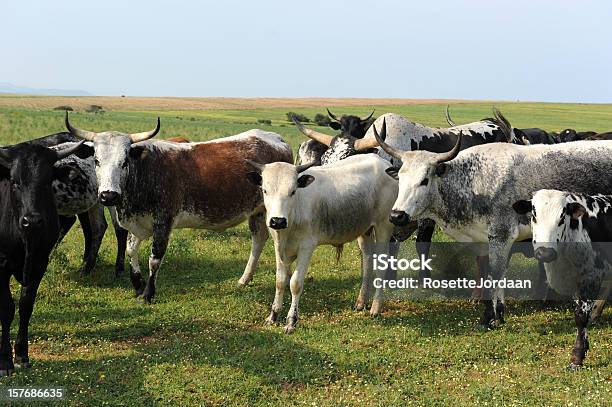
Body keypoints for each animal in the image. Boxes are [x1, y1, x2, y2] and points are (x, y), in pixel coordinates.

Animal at [0, 143, 85, 376]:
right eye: (14, 181)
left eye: (48, 181)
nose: (32, 220)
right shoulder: (0, 264)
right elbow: (7, 308)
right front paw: (5, 361)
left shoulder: (40, 263)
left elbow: (26, 305)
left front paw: (21, 354)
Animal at [246, 155, 400, 334]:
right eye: (265, 190)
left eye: (293, 191)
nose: (277, 221)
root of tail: (381, 160)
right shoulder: (278, 246)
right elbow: (280, 281)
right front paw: (273, 316)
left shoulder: (306, 247)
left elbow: (295, 284)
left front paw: (291, 321)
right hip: (365, 230)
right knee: (367, 261)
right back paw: (361, 302)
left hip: (384, 227)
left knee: (382, 263)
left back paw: (375, 308)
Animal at [372, 123, 612, 328]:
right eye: (400, 179)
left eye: (424, 180)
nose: (397, 215)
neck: (474, 180)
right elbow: (491, 272)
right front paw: (496, 313)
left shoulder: (501, 235)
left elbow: (495, 273)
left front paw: (492, 317)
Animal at [512, 190, 608, 370]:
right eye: (534, 215)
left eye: (562, 217)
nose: (545, 252)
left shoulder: (592, 277)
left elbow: (580, 317)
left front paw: (577, 357)